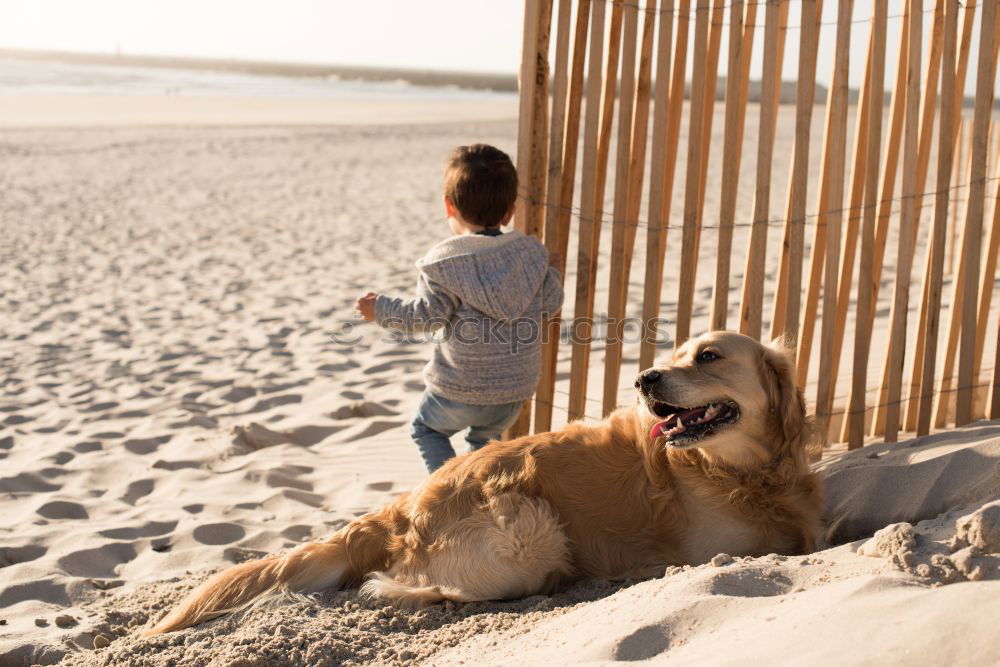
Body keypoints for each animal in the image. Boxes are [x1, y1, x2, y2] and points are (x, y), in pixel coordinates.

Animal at [146, 332, 820, 636]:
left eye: (708, 356)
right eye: (678, 353)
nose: (644, 379)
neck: (741, 471)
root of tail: (402, 509)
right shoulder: (723, 548)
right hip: (532, 534)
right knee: (391, 586)